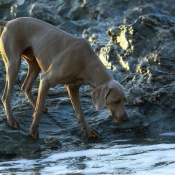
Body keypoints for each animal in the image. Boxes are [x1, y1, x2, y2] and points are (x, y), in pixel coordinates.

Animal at [0, 17, 129, 139]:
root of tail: (8, 22)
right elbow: (39, 109)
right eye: (116, 101)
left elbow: (80, 113)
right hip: (14, 63)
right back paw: (12, 120)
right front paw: (33, 130)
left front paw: (88, 131)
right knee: (6, 95)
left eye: (125, 100)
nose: (126, 119)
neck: (87, 62)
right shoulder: (46, 80)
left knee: (25, 87)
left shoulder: (73, 87)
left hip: (35, 64)